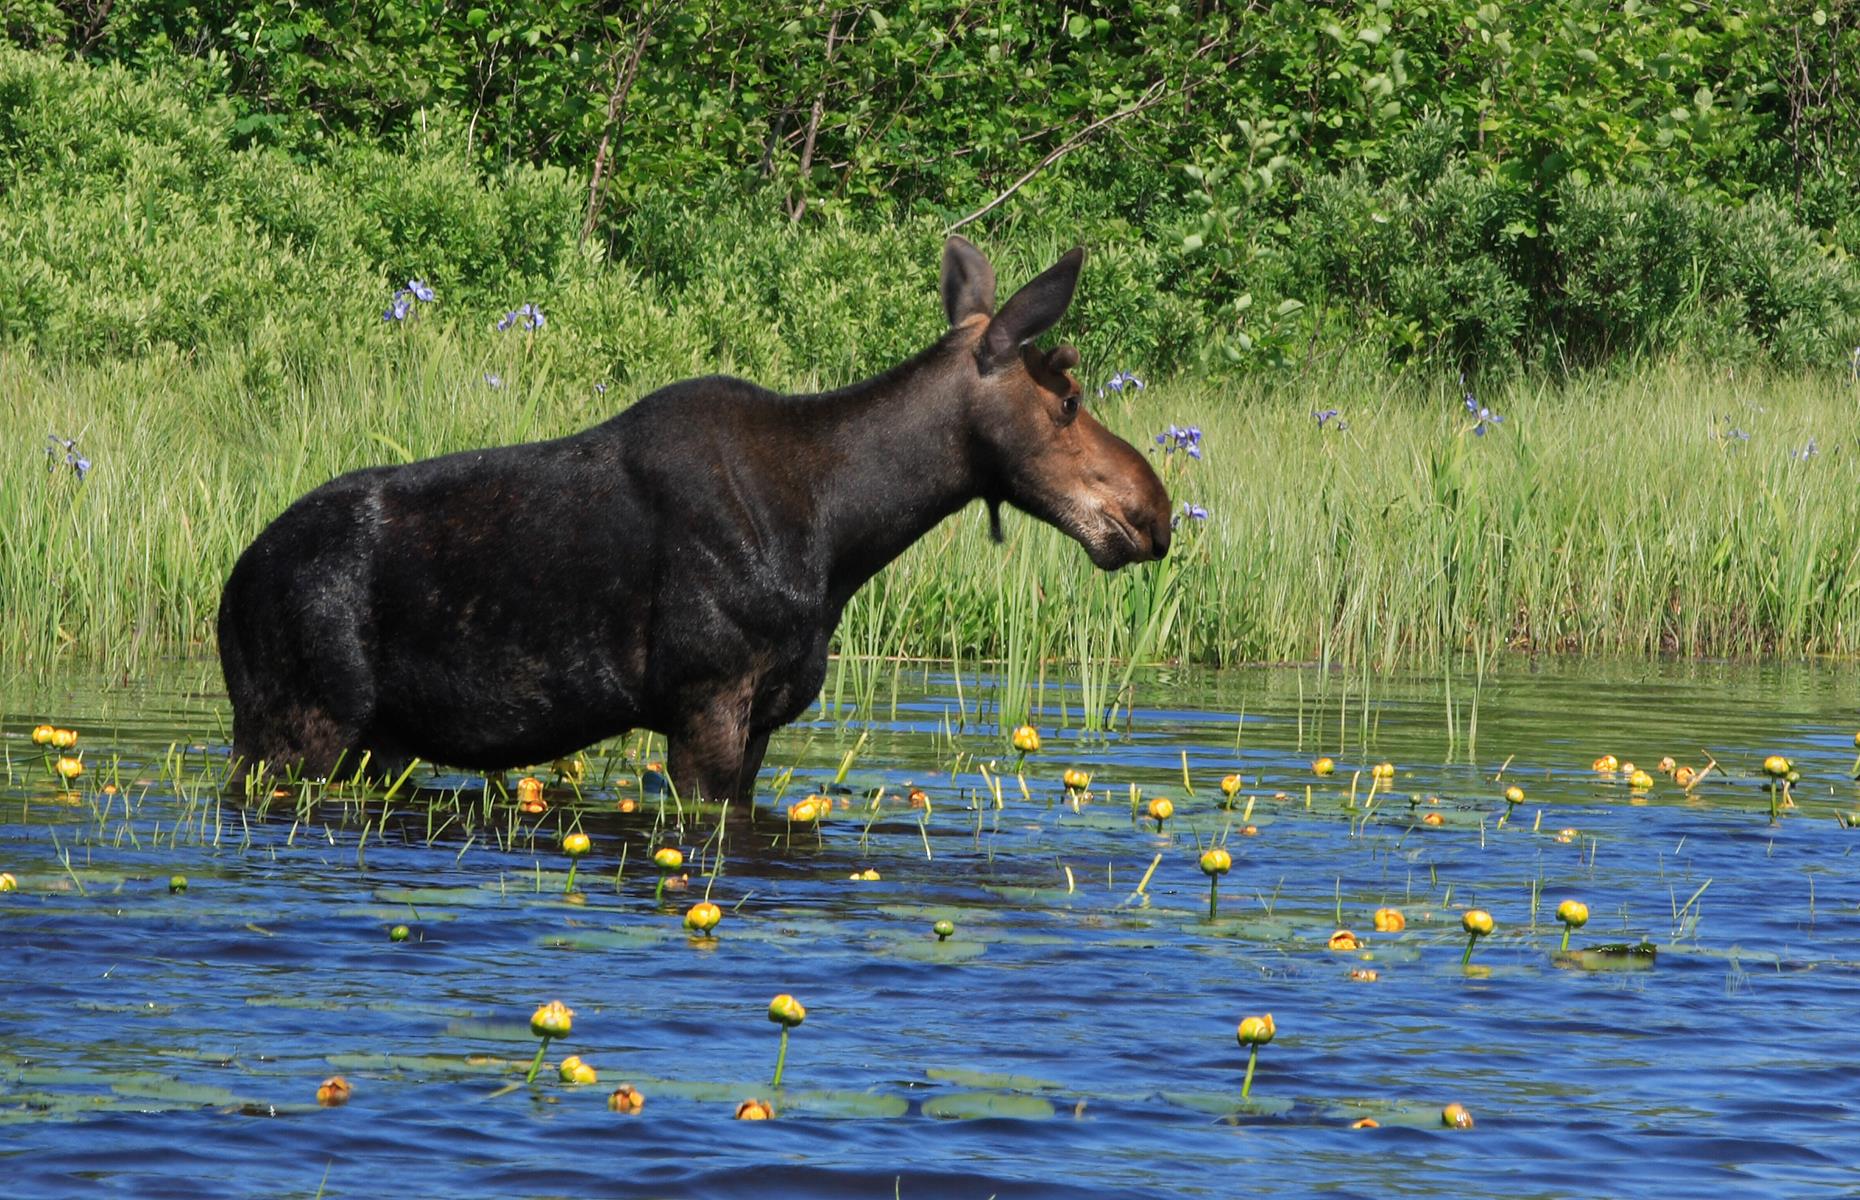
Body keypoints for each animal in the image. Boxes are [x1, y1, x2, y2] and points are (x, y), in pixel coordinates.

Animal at [217, 235, 1168, 800]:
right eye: (1070, 400)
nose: (1154, 509)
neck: (843, 534)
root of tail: (230, 587)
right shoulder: (705, 700)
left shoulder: (763, 720)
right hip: (296, 725)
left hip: (372, 740)